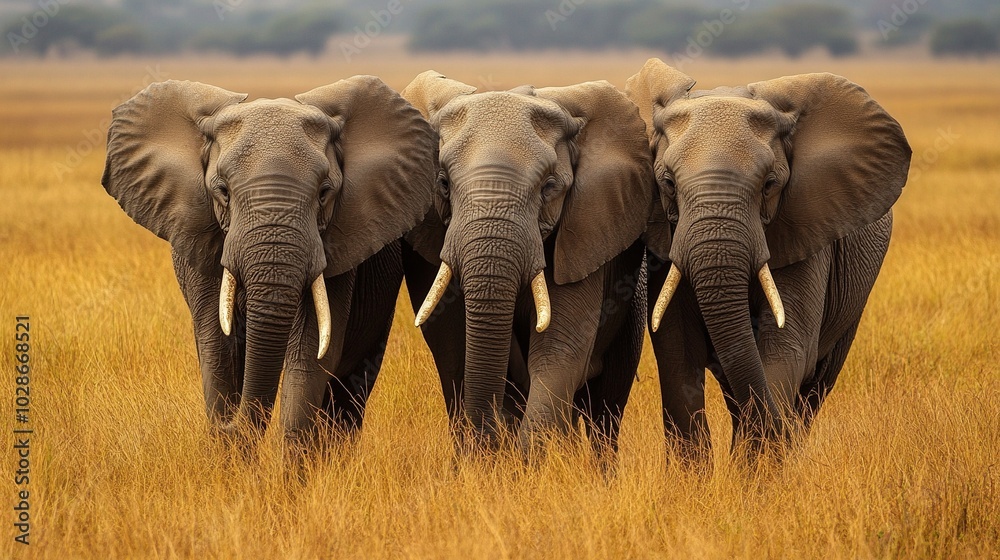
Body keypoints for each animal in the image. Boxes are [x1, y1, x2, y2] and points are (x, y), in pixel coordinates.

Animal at [399, 71, 656, 454]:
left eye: (549, 187)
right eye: (442, 184)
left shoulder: (582, 235)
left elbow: (557, 354)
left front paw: (527, 458)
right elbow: (455, 347)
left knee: (605, 410)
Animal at [625, 59, 911, 459]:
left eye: (769, 185)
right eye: (667, 184)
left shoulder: (806, 232)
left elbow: (785, 351)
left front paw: (759, 465)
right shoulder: (666, 244)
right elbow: (678, 354)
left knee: (813, 389)